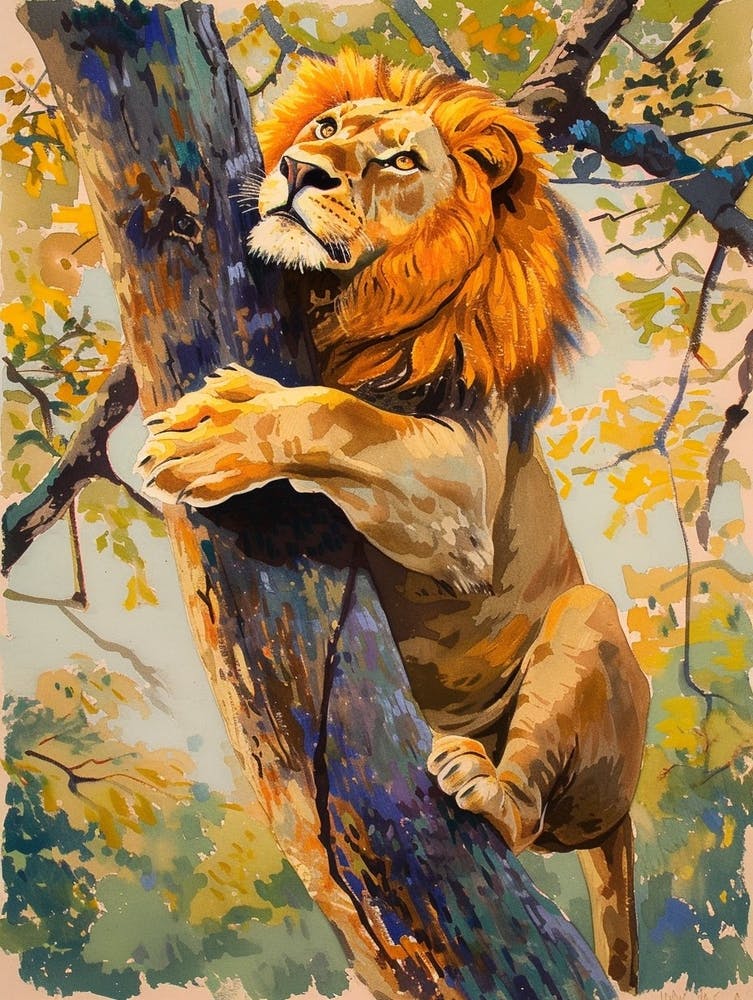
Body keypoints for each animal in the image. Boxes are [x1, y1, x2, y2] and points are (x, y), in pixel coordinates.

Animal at [137, 51, 650, 992]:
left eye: (402, 161)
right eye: (326, 129)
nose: (300, 170)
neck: (349, 303)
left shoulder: (467, 490)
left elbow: (339, 415)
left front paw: (217, 431)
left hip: (585, 629)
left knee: (530, 815)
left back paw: (487, 786)